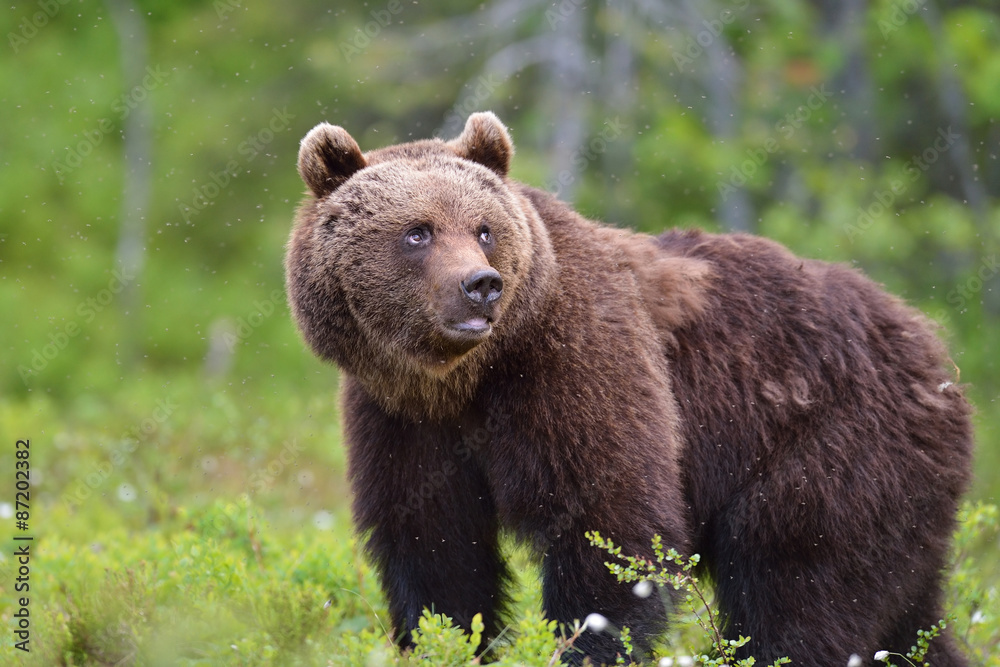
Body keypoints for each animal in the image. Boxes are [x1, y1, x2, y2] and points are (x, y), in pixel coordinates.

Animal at [285, 111, 973, 666]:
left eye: (483, 228)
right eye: (418, 231)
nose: (481, 285)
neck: (465, 379)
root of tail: (934, 353)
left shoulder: (576, 366)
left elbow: (611, 526)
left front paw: (584, 646)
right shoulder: (398, 417)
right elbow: (435, 550)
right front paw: (449, 641)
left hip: (831, 449)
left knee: (800, 587)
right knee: (901, 611)